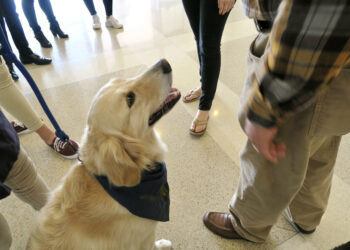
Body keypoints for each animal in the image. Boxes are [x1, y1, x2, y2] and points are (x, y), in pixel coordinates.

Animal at [27, 59, 180, 250]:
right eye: (130, 99)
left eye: (122, 79)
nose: (164, 62)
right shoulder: (143, 239)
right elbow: (153, 245)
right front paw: (163, 244)